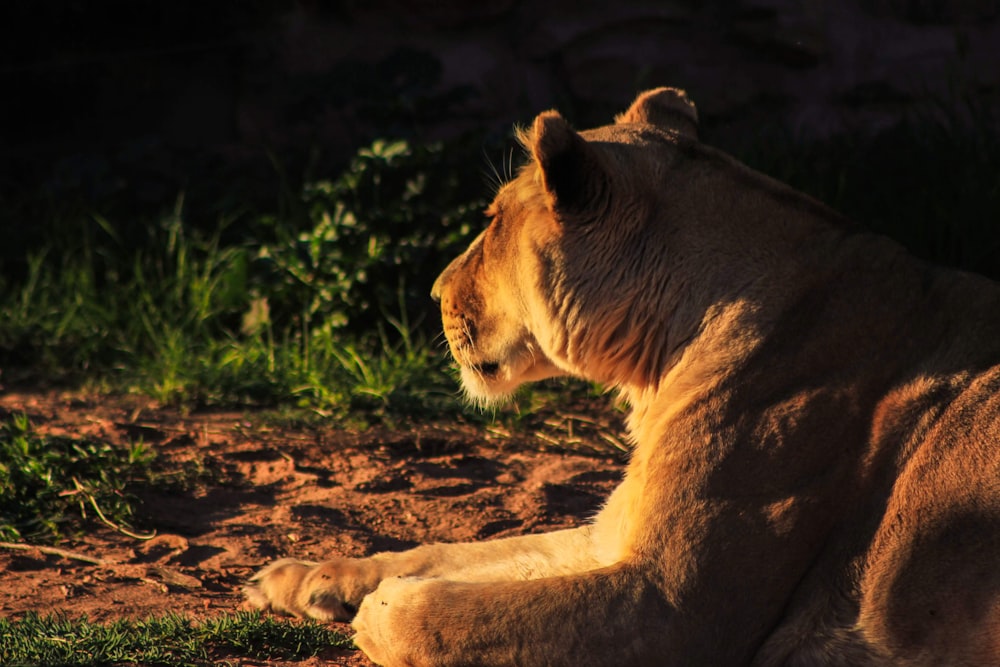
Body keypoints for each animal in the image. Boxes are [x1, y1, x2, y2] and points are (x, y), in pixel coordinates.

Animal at [244, 90, 1000, 667]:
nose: (432, 292)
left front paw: (379, 609)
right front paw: (304, 577)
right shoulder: (610, 536)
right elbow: (455, 551)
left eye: (492, 219)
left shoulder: (668, 607)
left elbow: (457, 609)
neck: (659, 357)